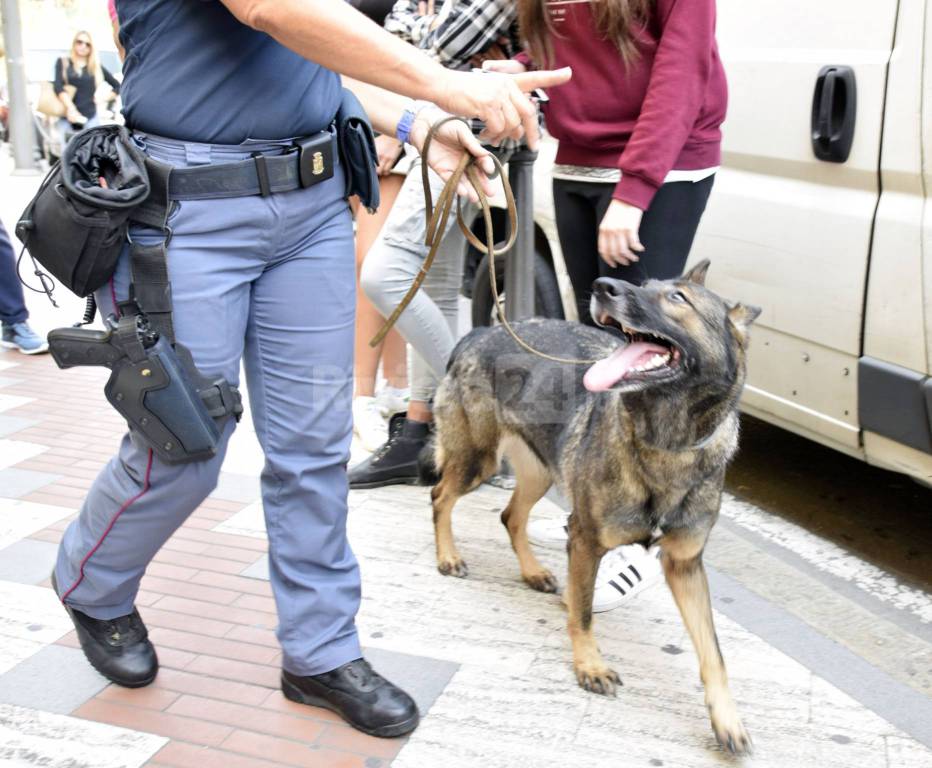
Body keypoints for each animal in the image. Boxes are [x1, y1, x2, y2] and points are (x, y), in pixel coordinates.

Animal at [430, 260, 756, 752]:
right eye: (645, 285)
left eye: (677, 298)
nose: (604, 286)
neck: (666, 443)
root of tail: (481, 331)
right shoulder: (584, 541)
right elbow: (582, 614)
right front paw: (590, 665)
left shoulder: (684, 566)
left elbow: (713, 651)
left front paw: (727, 717)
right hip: (478, 461)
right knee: (440, 497)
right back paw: (448, 555)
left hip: (540, 472)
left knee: (510, 516)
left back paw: (532, 572)